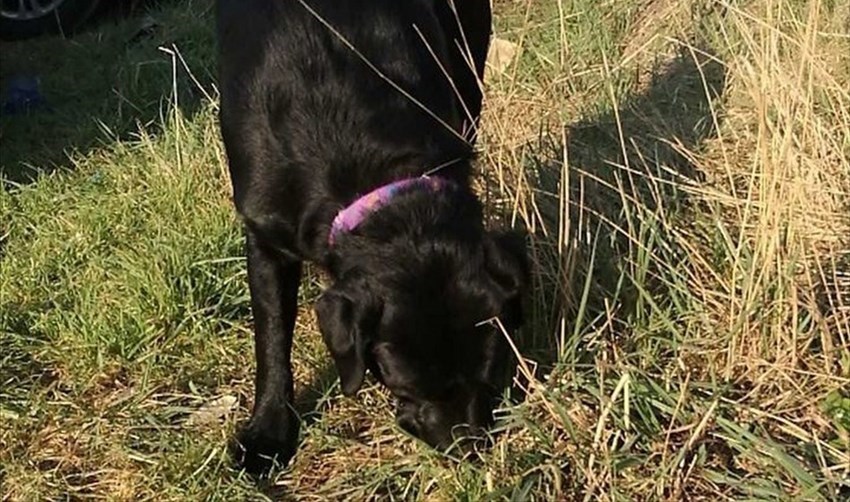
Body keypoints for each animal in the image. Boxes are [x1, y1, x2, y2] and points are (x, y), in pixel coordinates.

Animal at [215, 0, 528, 474]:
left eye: (490, 372)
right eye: (405, 387)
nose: (465, 448)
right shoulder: (264, 235)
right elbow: (271, 337)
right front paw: (268, 433)